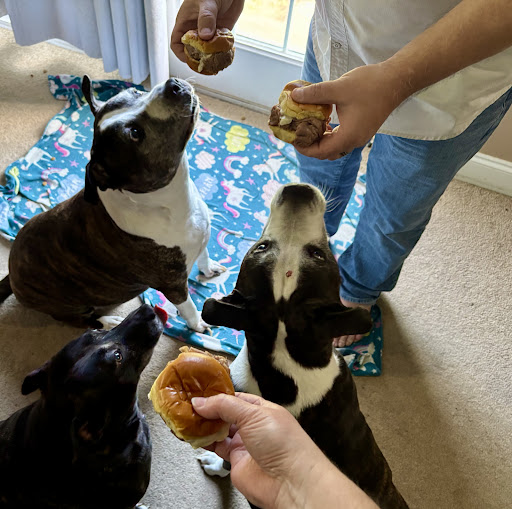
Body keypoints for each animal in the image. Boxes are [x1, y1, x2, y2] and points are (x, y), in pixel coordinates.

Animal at [0, 75, 224, 331]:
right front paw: (199, 325)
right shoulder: (173, 285)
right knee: (80, 320)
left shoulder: (201, 238)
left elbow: (204, 256)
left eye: (135, 92)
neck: (168, 200)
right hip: (65, 306)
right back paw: (106, 322)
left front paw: (209, 269)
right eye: (135, 133)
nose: (173, 85)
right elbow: (188, 307)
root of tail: (11, 275)